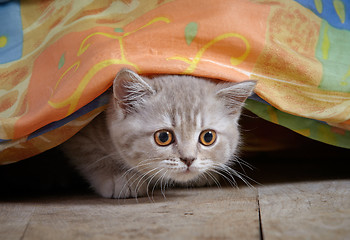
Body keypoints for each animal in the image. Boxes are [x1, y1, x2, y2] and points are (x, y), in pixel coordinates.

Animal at [61, 69, 256, 199]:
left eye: (208, 137)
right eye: (163, 137)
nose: (188, 159)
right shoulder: (80, 135)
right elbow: (92, 157)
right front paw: (118, 177)